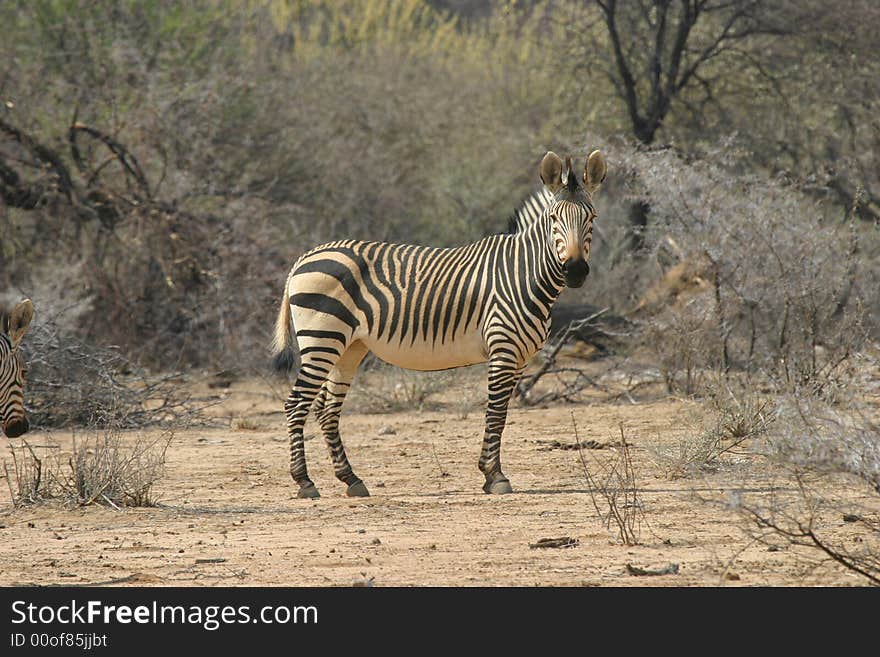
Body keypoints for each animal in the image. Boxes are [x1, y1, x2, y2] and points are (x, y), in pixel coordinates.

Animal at [274, 150, 604, 498]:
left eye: (592, 218)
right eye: (553, 219)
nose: (575, 271)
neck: (523, 273)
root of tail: (305, 257)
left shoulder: (520, 358)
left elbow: (501, 413)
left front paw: (490, 473)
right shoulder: (503, 351)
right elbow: (496, 413)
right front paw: (495, 476)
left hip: (349, 347)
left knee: (327, 409)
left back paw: (351, 479)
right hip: (321, 338)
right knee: (296, 404)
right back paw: (304, 482)